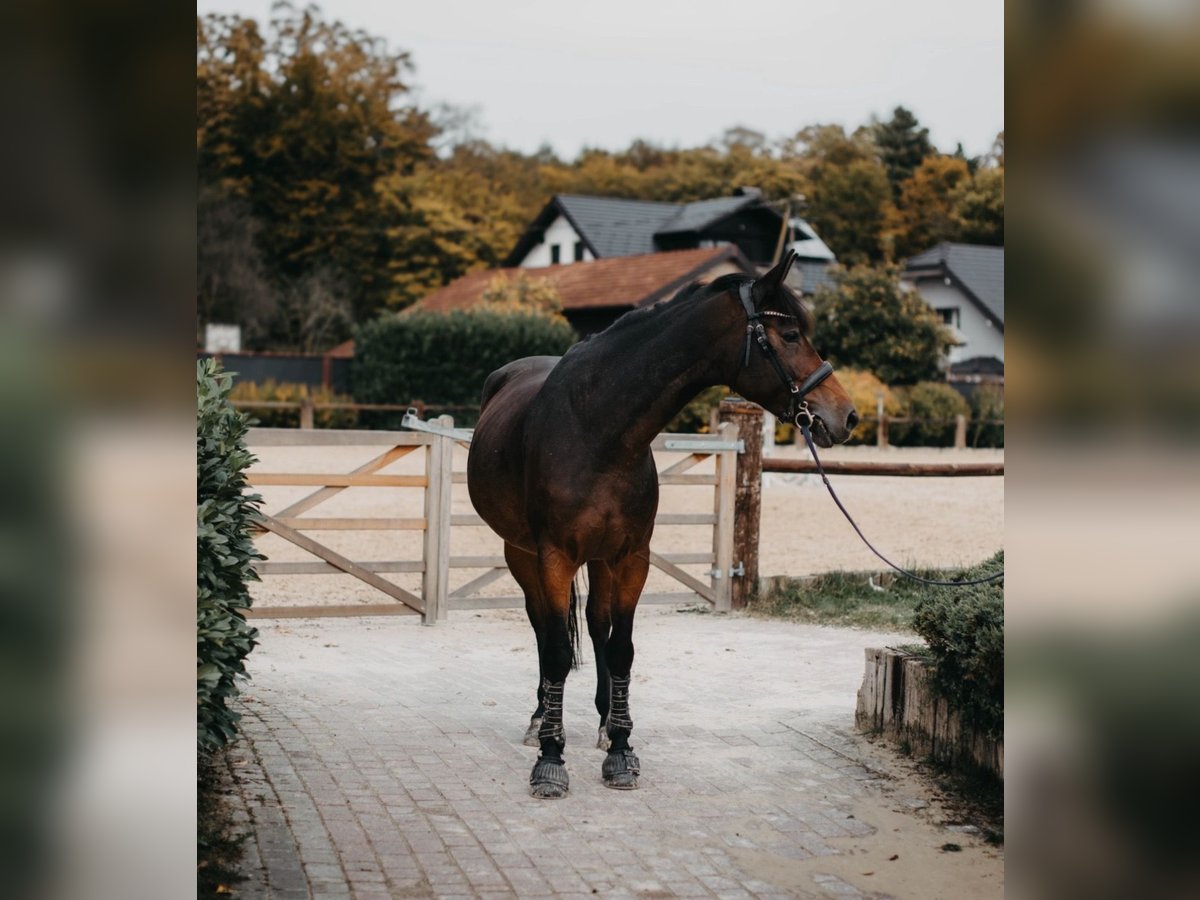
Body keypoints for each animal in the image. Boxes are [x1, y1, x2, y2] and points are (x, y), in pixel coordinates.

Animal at [466, 251, 857, 798]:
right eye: (790, 335)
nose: (846, 415)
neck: (596, 428)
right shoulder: (554, 557)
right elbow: (558, 652)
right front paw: (551, 758)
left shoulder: (632, 557)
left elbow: (622, 649)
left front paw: (620, 749)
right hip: (520, 554)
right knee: (544, 630)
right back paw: (540, 717)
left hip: (600, 559)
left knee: (596, 624)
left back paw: (603, 721)